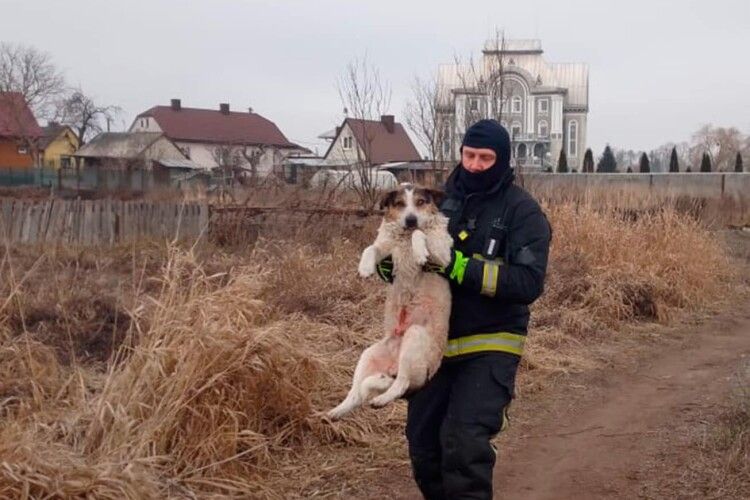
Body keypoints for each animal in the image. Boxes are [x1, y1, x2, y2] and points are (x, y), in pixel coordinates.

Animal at [328, 183, 452, 418]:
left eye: (420, 202)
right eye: (400, 204)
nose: (411, 220)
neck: (404, 237)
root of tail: (394, 365)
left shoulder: (444, 257)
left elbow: (421, 233)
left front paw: (419, 251)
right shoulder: (386, 249)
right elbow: (371, 248)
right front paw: (365, 268)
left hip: (415, 336)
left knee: (401, 384)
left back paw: (381, 400)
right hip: (368, 355)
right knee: (356, 394)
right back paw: (333, 413)